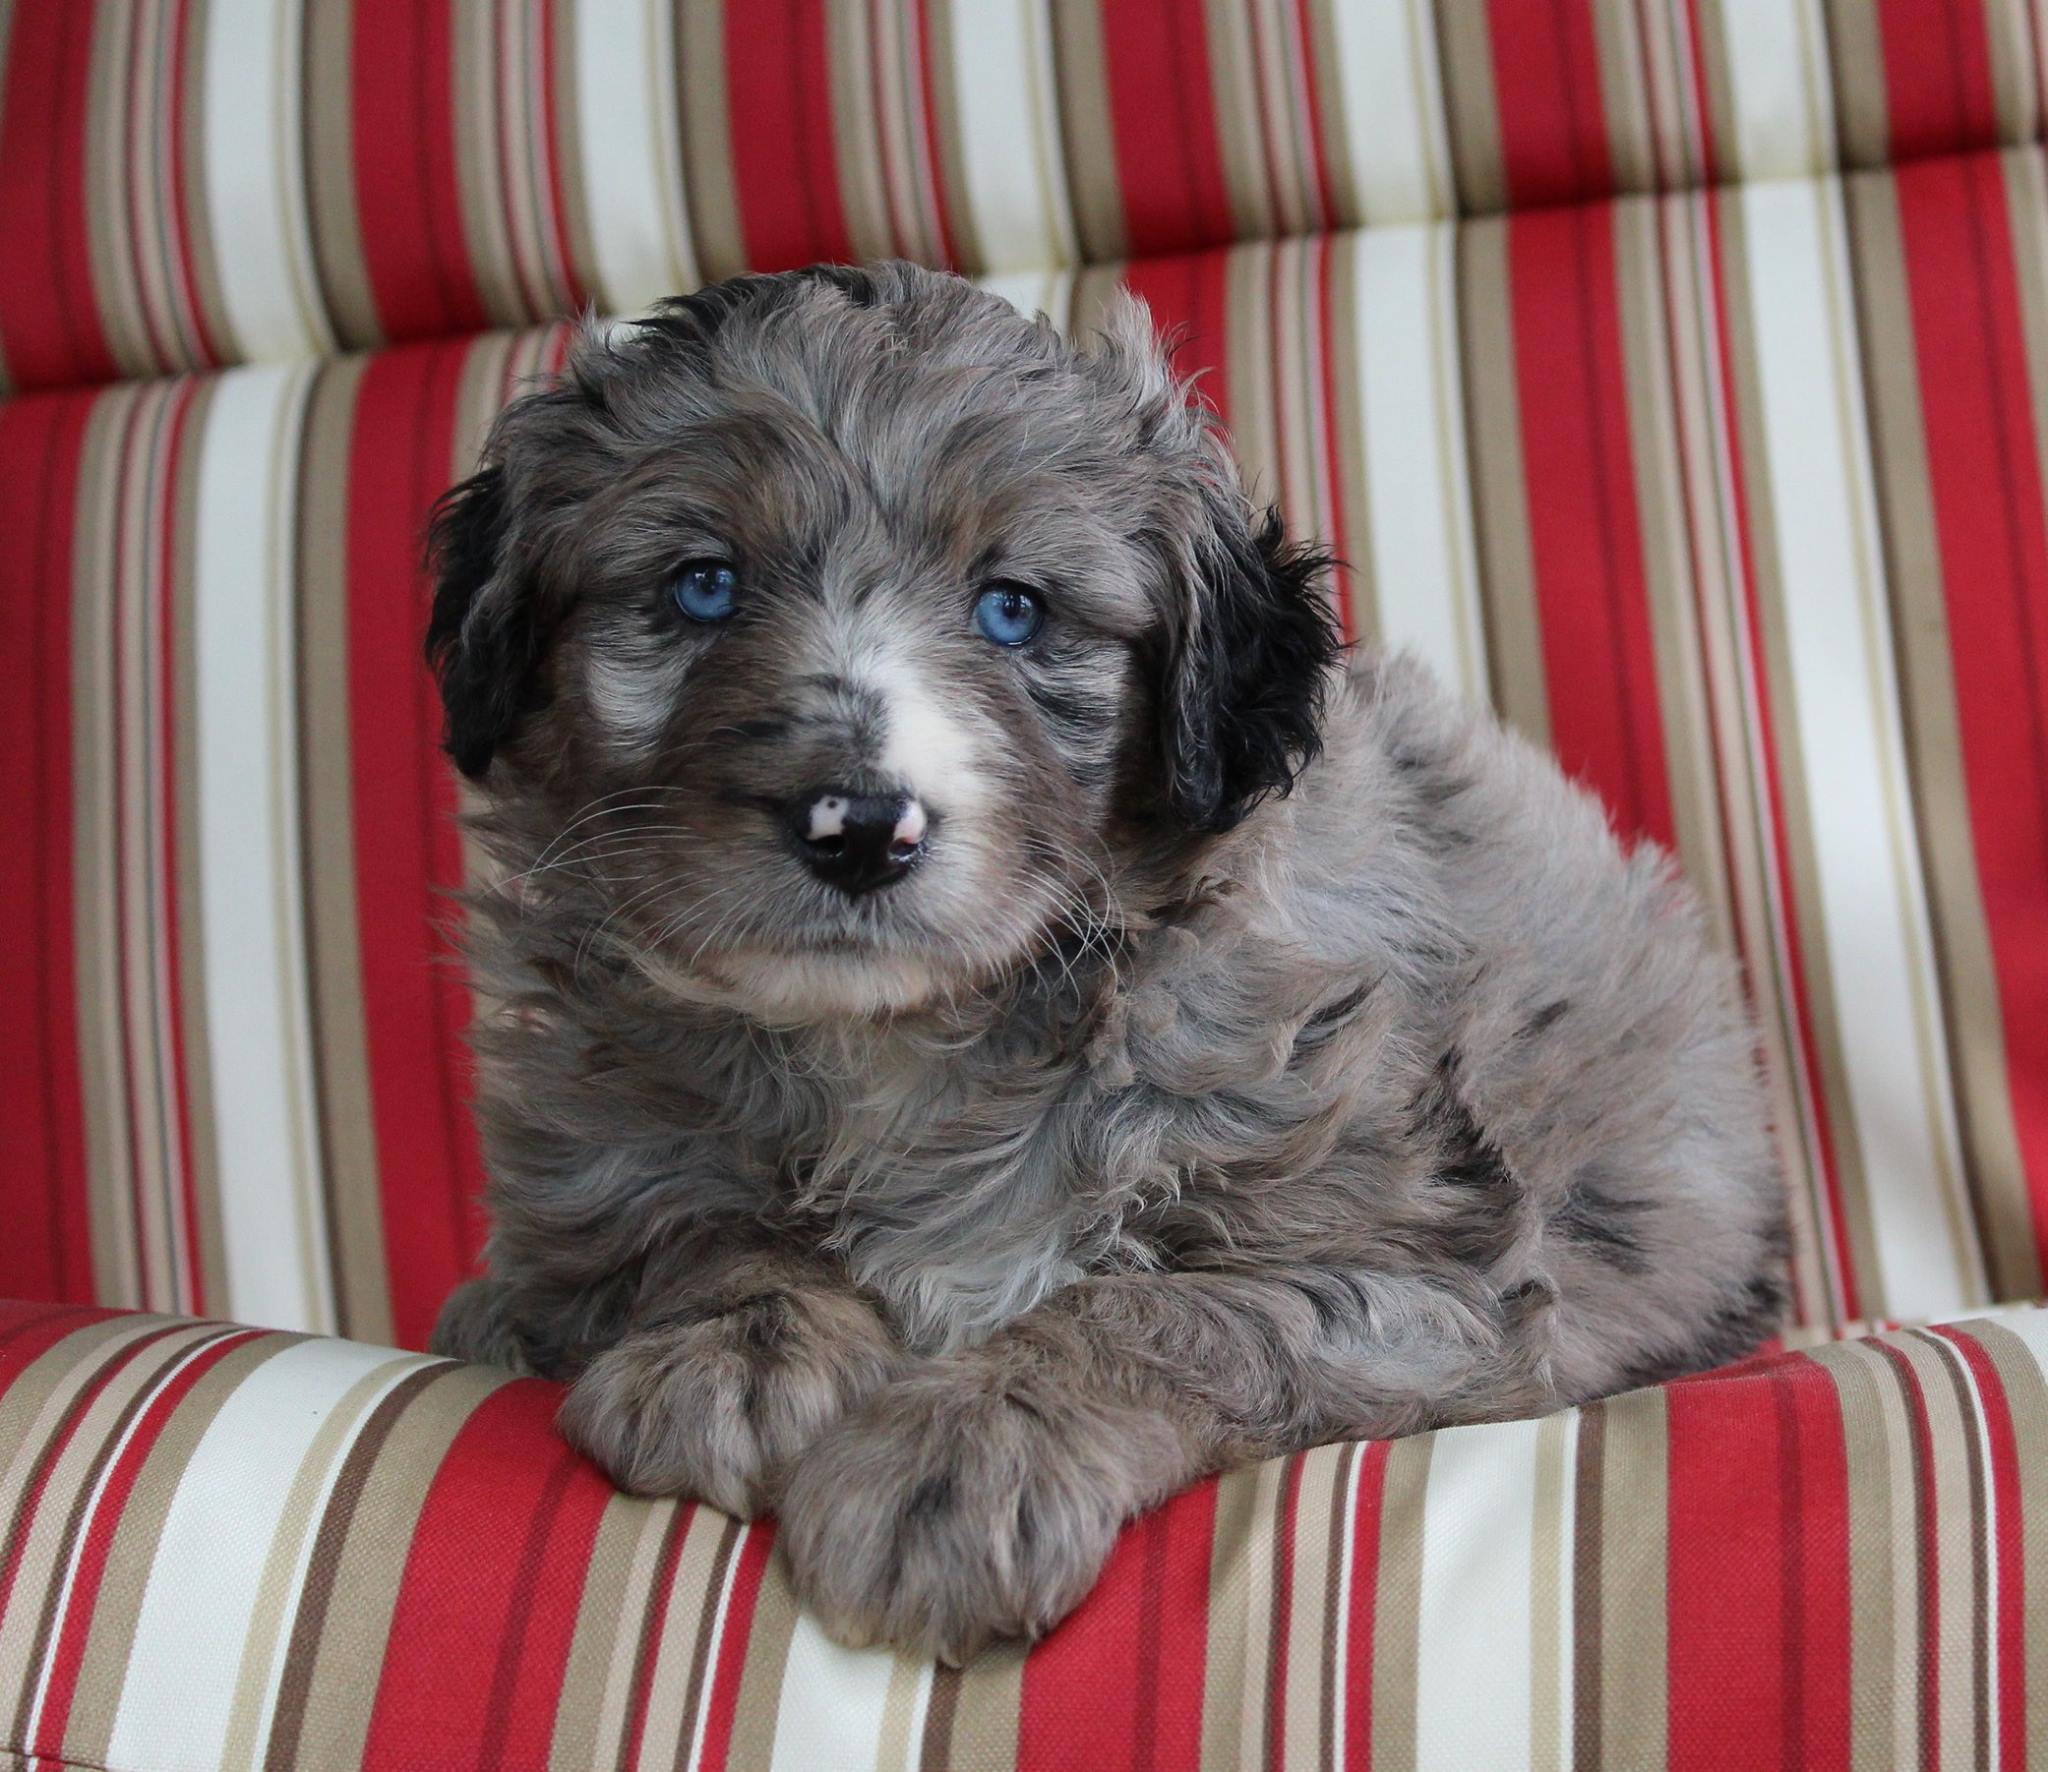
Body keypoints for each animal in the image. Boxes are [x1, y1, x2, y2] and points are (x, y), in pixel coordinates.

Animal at [423, 259, 1785, 1655]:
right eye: (703, 584)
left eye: (1013, 609)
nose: (857, 825)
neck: (903, 1042)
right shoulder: (595, 1173)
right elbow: (691, 1220)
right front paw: (733, 1344)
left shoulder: (1431, 1279)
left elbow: (1164, 1307)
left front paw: (968, 1449)